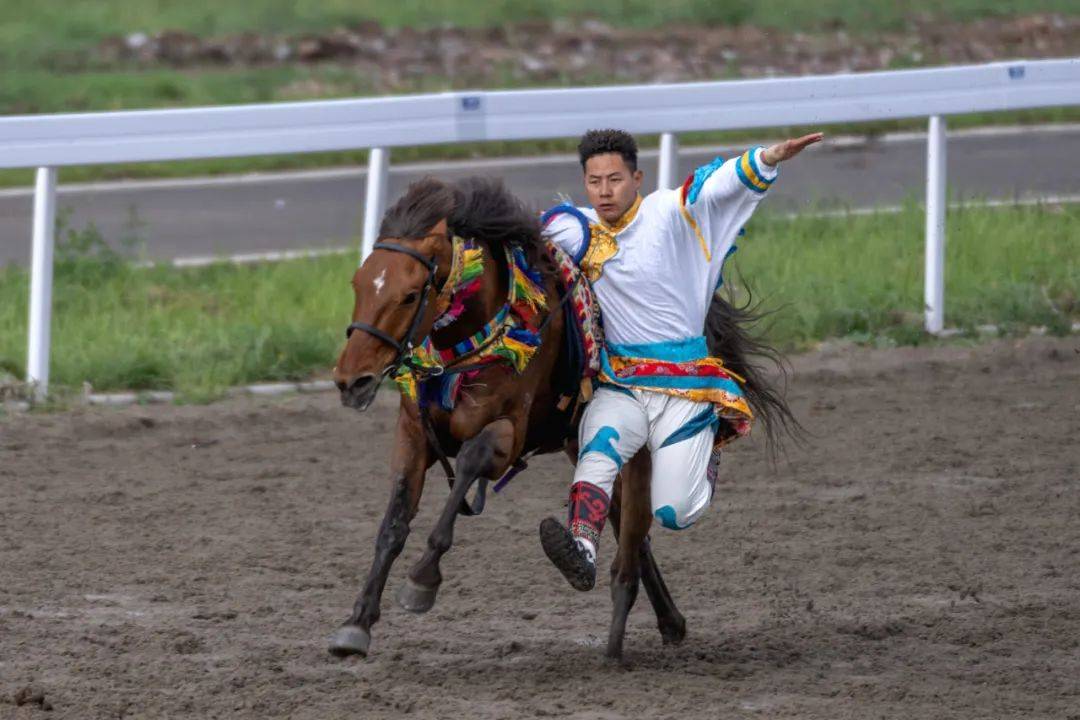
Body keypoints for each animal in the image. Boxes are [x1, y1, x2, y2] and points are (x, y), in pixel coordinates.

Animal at [324, 179, 686, 660]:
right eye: (359, 283)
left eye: (409, 294)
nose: (351, 380)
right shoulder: (413, 434)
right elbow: (393, 524)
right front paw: (357, 622)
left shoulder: (507, 433)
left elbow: (468, 467)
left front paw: (423, 578)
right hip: (579, 440)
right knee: (624, 520)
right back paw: (667, 619)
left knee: (633, 522)